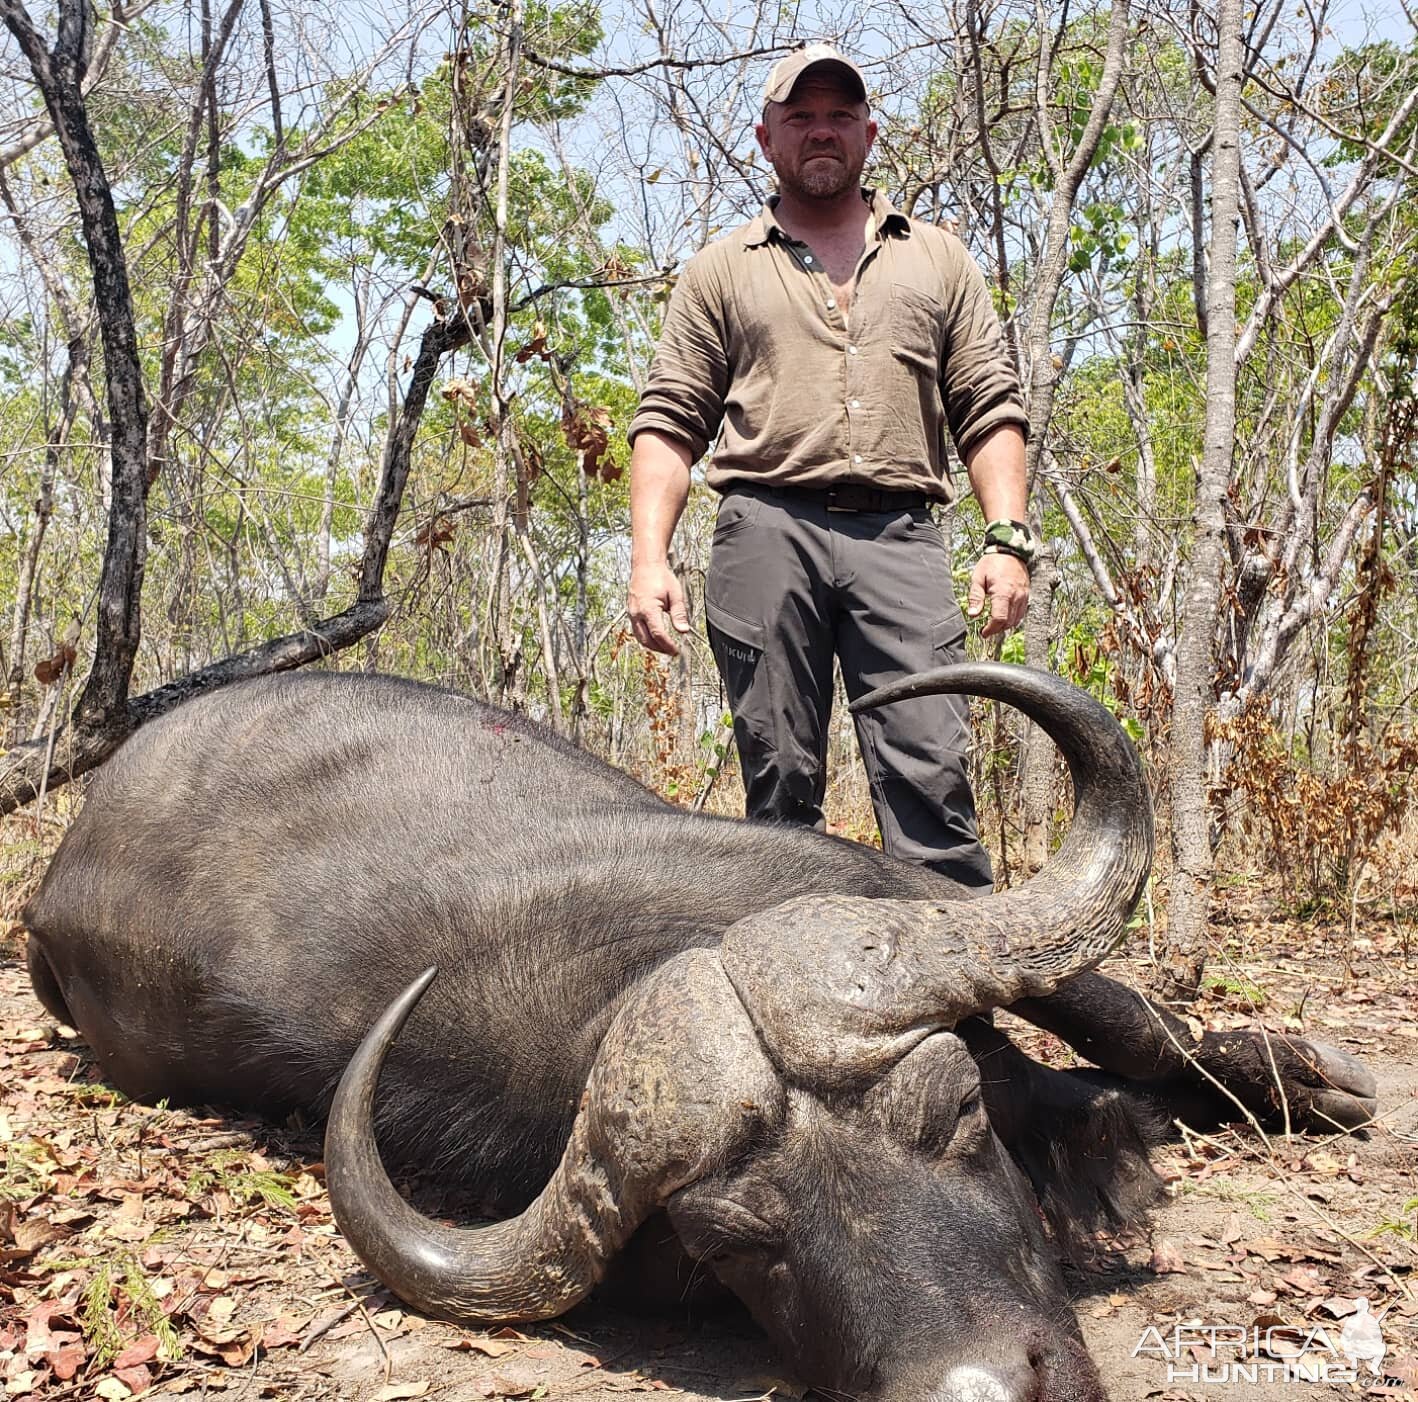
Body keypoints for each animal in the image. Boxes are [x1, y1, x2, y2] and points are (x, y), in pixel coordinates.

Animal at [22, 663, 1372, 1400]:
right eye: (733, 1247)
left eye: (952, 1118)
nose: (980, 1387)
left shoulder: (890, 891)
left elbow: (1122, 1016)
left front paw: (1302, 1080)